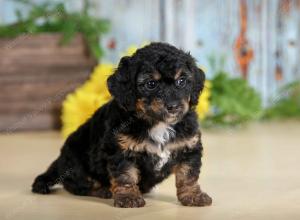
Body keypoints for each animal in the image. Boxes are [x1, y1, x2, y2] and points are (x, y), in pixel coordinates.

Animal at [31, 41, 212, 208]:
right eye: (151, 84)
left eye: (182, 81)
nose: (173, 106)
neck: (157, 123)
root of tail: (60, 160)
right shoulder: (120, 150)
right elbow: (126, 175)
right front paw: (128, 197)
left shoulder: (189, 147)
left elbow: (188, 174)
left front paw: (193, 196)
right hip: (76, 162)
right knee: (77, 185)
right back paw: (103, 190)